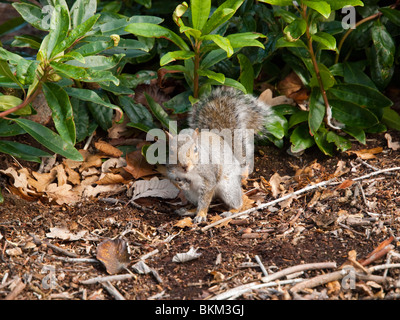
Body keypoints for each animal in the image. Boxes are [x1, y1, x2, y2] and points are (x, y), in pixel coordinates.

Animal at [166, 86, 272, 224]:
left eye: (195, 149)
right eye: (171, 151)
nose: (185, 166)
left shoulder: (209, 177)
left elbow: (205, 199)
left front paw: (201, 214)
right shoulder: (172, 171)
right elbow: (173, 177)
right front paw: (181, 183)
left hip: (228, 188)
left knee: (237, 202)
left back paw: (231, 211)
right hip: (192, 195)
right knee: (197, 202)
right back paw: (189, 210)